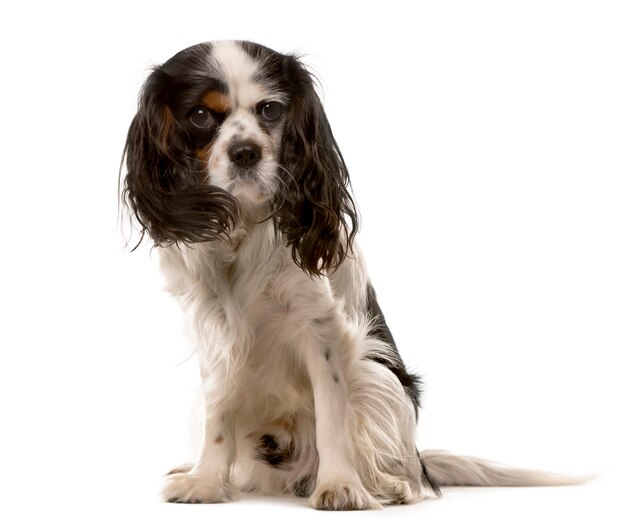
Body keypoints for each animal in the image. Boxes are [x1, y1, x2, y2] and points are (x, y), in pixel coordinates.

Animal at [119, 39, 576, 510]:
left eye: (270, 110)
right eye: (200, 115)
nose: (246, 151)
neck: (245, 225)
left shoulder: (322, 332)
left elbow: (333, 419)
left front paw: (340, 485)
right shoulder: (215, 335)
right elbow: (218, 417)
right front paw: (206, 482)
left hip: (380, 379)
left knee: (411, 470)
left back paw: (393, 484)